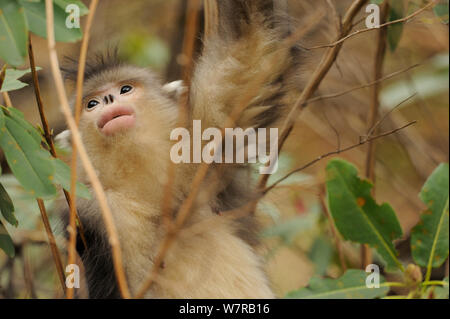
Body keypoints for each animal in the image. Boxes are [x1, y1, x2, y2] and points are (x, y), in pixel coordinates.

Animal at [56, 0, 302, 300]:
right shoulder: (92, 209)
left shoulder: (202, 143)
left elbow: (252, 46)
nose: (108, 99)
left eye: (125, 89)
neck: (145, 183)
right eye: (91, 104)